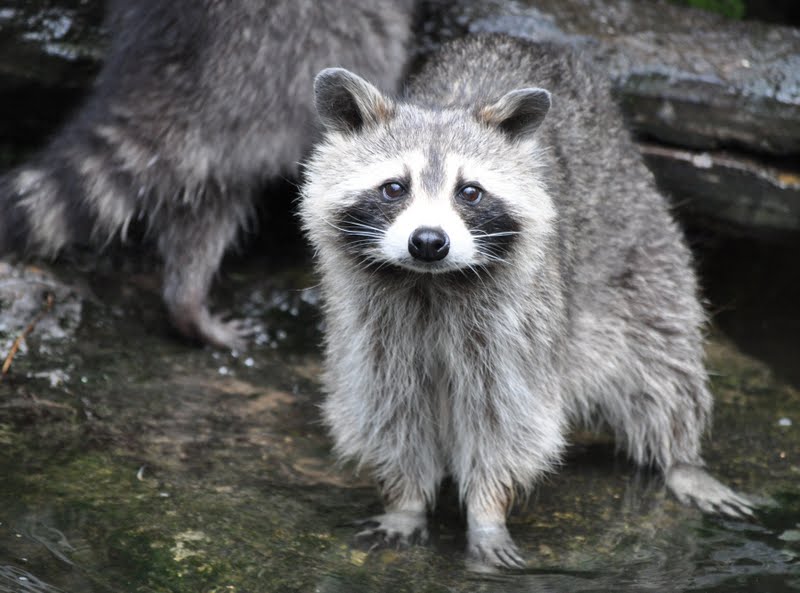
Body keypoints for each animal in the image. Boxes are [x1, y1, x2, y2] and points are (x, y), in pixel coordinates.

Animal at [300, 34, 754, 568]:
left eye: (469, 192)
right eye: (394, 188)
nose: (429, 241)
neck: (430, 284)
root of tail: (527, 41)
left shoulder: (518, 322)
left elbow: (506, 416)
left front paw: (487, 510)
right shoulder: (369, 319)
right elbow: (388, 404)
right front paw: (405, 499)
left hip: (639, 244)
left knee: (663, 362)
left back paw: (681, 457)